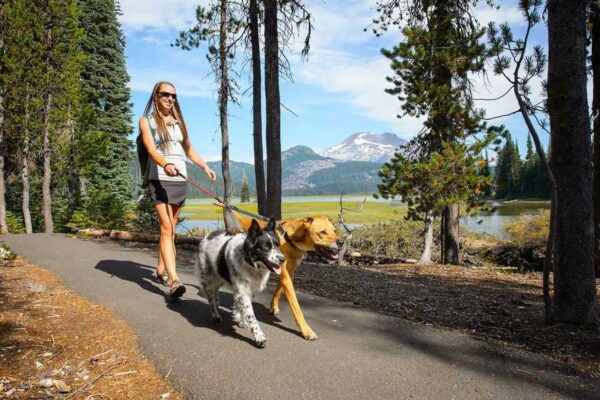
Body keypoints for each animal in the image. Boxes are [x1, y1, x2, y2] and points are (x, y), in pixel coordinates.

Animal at [195, 217, 284, 348]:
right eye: (265, 247)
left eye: (278, 244)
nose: (283, 259)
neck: (249, 262)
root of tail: (208, 235)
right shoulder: (242, 290)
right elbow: (250, 314)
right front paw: (259, 336)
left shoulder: (249, 290)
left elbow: (243, 308)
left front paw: (242, 321)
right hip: (209, 278)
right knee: (210, 297)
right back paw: (215, 315)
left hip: (219, 278)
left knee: (215, 293)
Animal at [232, 212, 340, 340]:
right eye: (322, 232)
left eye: (334, 230)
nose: (341, 242)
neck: (291, 239)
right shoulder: (286, 275)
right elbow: (296, 307)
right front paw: (306, 330)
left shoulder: (287, 273)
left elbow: (278, 290)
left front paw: (273, 307)